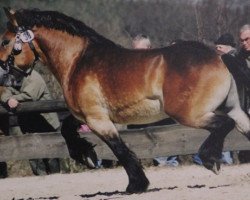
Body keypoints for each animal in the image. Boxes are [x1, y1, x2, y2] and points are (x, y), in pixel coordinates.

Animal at [1, 7, 250, 192]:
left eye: (4, 41)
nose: (4, 75)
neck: (78, 61)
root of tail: (219, 56)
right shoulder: (86, 115)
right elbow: (66, 129)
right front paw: (86, 155)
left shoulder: (97, 119)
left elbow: (119, 149)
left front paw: (136, 185)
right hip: (232, 109)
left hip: (189, 114)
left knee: (223, 124)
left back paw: (210, 159)